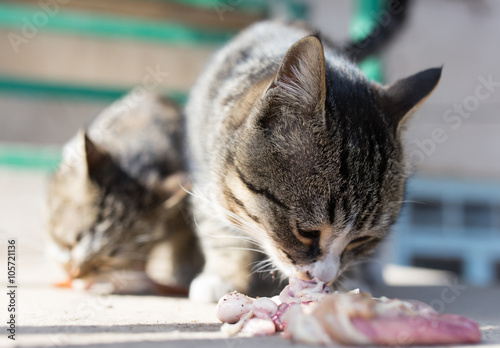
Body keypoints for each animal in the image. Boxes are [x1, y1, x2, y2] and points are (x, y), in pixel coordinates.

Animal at [185, 20, 442, 302]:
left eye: (360, 240)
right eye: (306, 232)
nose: (324, 277)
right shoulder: (204, 169)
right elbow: (217, 224)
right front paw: (223, 274)